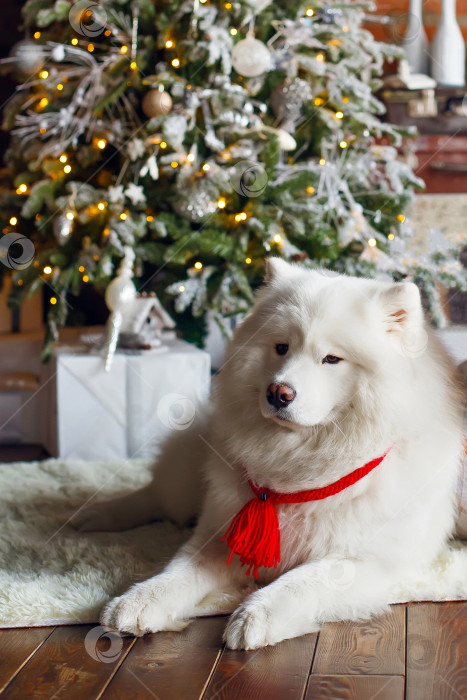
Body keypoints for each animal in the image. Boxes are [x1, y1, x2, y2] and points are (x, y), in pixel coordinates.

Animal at [73, 260, 464, 652]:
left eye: (332, 359)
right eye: (281, 347)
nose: (278, 392)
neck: (299, 468)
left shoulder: (365, 560)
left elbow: (302, 581)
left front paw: (255, 615)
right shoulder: (221, 533)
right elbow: (176, 571)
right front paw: (138, 600)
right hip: (186, 480)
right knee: (154, 495)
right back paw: (93, 515)